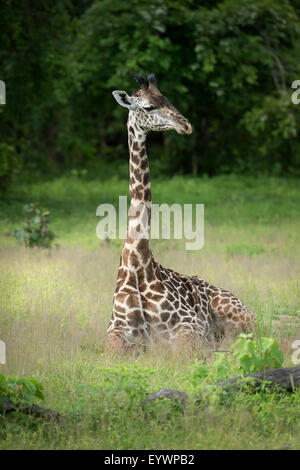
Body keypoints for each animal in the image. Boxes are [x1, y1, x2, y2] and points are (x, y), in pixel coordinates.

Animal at [105, 73, 255, 350]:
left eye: (168, 99)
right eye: (148, 107)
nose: (186, 125)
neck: (137, 263)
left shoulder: (189, 325)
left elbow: (182, 350)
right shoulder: (116, 328)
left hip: (239, 314)